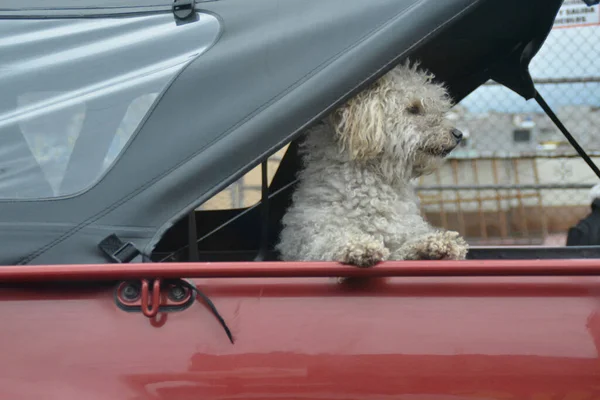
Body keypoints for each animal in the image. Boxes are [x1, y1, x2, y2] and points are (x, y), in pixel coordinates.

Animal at [276, 61, 468, 268]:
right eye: (413, 108)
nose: (458, 134)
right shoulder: (311, 240)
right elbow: (332, 241)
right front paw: (360, 246)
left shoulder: (400, 234)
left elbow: (405, 246)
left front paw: (433, 244)